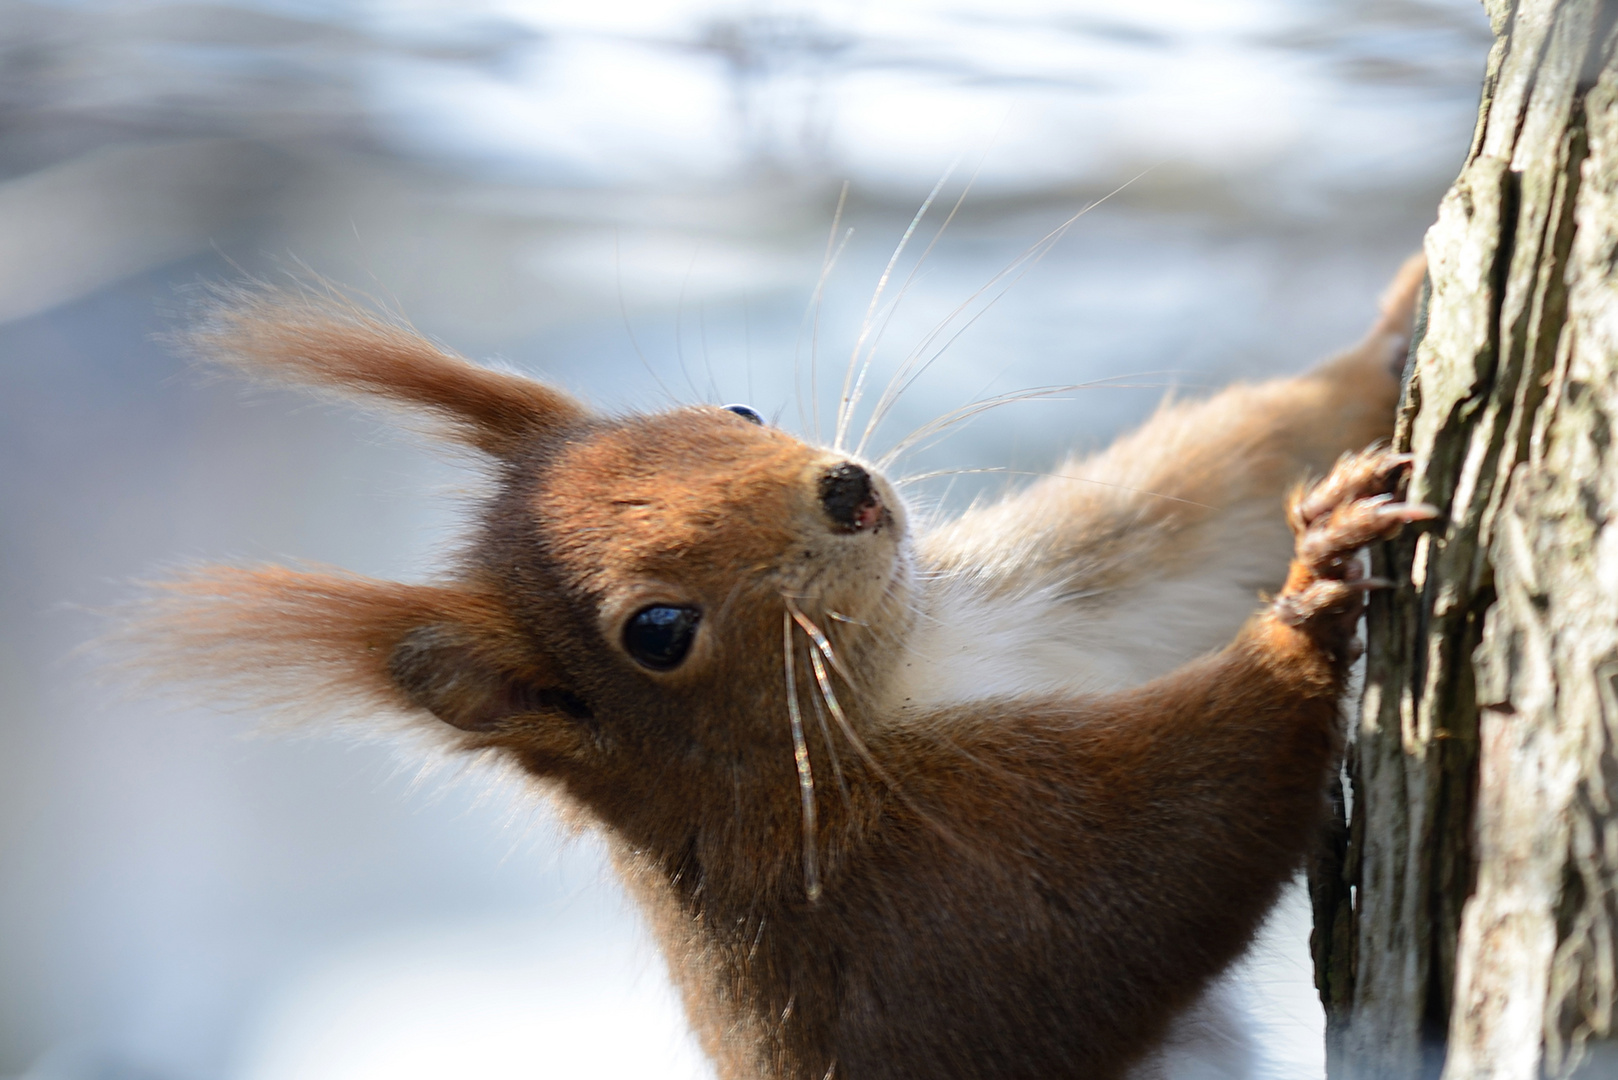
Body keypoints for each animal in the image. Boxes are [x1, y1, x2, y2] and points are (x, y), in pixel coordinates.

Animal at [139, 257, 1430, 1075]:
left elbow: (1204, 501)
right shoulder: (915, 898)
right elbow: (1147, 864)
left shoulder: (1045, 593)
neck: (911, 664)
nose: (849, 490)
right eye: (657, 633)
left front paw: (1395, 326)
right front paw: (1307, 600)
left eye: (738, 411)